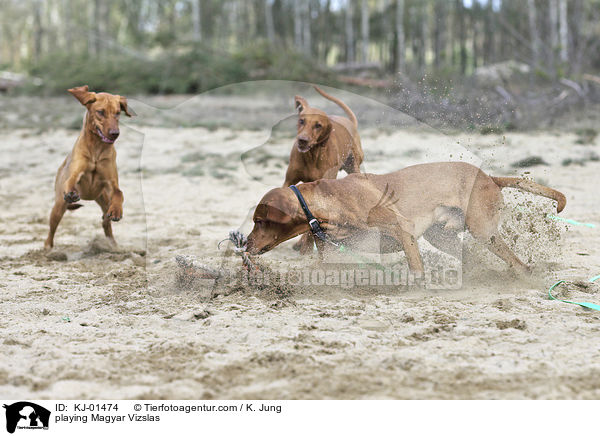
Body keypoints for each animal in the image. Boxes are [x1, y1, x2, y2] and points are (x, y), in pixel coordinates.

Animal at [44, 85, 134, 249]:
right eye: (100, 112)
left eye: (118, 113)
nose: (115, 133)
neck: (97, 149)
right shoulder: (76, 173)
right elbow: (72, 180)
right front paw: (72, 192)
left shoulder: (111, 183)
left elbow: (119, 192)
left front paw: (117, 211)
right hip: (58, 207)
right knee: (51, 232)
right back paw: (48, 249)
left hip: (104, 199)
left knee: (106, 223)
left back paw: (113, 246)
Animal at [247, 162, 568, 274]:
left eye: (259, 221)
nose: (245, 244)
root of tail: (490, 178)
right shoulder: (328, 251)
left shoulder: (403, 230)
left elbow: (416, 269)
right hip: (443, 238)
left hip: (482, 231)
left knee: (517, 262)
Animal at [284, 84, 364, 254]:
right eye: (301, 121)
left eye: (318, 125)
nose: (302, 140)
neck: (311, 156)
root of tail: (350, 122)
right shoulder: (289, 180)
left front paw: (306, 249)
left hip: (355, 166)